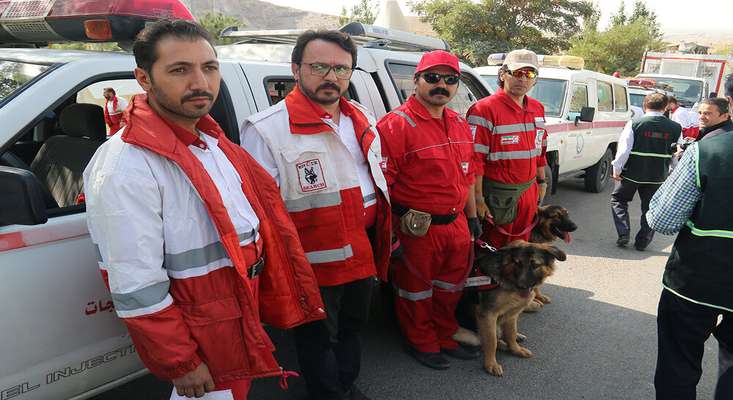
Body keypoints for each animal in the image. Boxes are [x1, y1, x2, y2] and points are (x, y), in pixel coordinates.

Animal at [474, 242, 568, 376]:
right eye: (517, 263)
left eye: (535, 265)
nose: (521, 286)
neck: (507, 276)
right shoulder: (487, 314)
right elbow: (491, 341)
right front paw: (491, 364)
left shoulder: (512, 313)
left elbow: (511, 333)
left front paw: (516, 349)